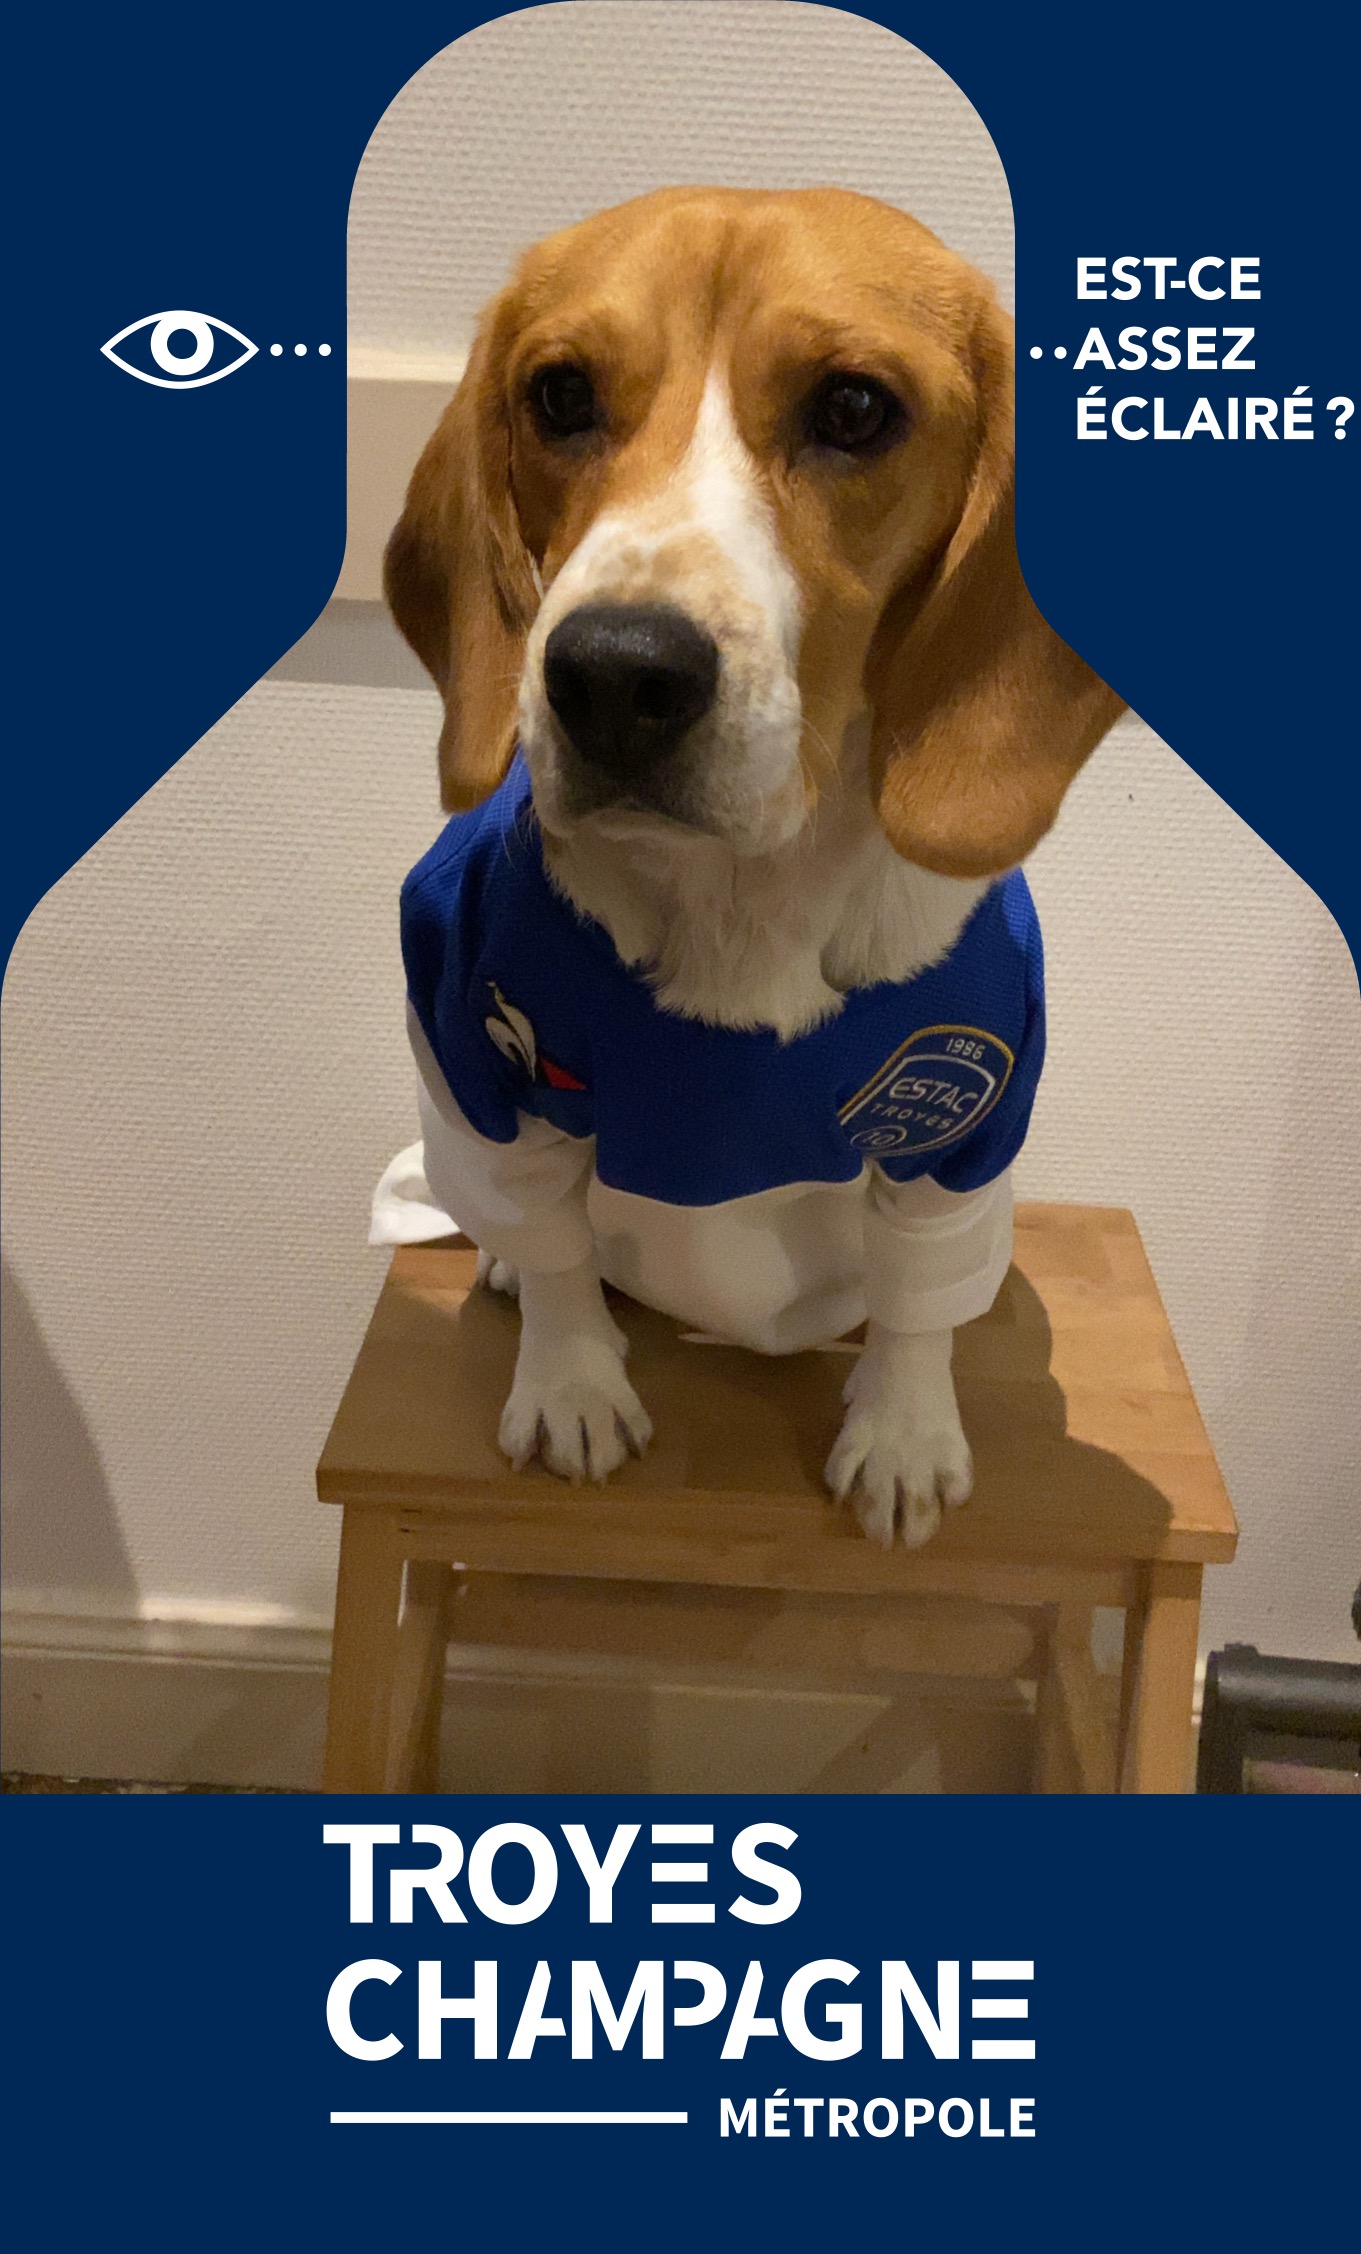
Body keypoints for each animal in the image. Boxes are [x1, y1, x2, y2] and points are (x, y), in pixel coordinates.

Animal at [387, 187, 1122, 1548]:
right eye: (557, 393)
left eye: (853, 409)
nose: (612, 673)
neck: (743, 894)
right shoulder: (466, 1046)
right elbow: (556, 1246)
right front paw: (570, 1383)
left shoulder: (967, 1119)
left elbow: (917, 1303)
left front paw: (902, 1432)